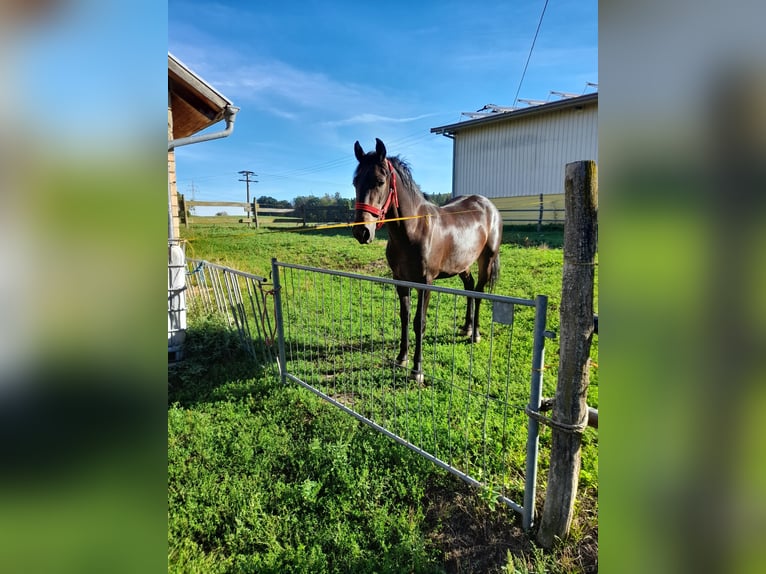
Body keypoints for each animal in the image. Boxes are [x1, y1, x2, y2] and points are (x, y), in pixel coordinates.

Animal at [352, 138, 502, 383]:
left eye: (380, 181)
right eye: (355, 182)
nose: (362, 232)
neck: (412, 230)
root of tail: (489, 206)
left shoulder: (426, 283)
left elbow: (418, 323)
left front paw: (417, 369)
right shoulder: (400, 281)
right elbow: (404, 318)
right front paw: (401, 358)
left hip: (486, 260)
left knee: (479, 292)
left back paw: (476, 334)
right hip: (463, 264)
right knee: (469, 287)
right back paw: (467, 327)